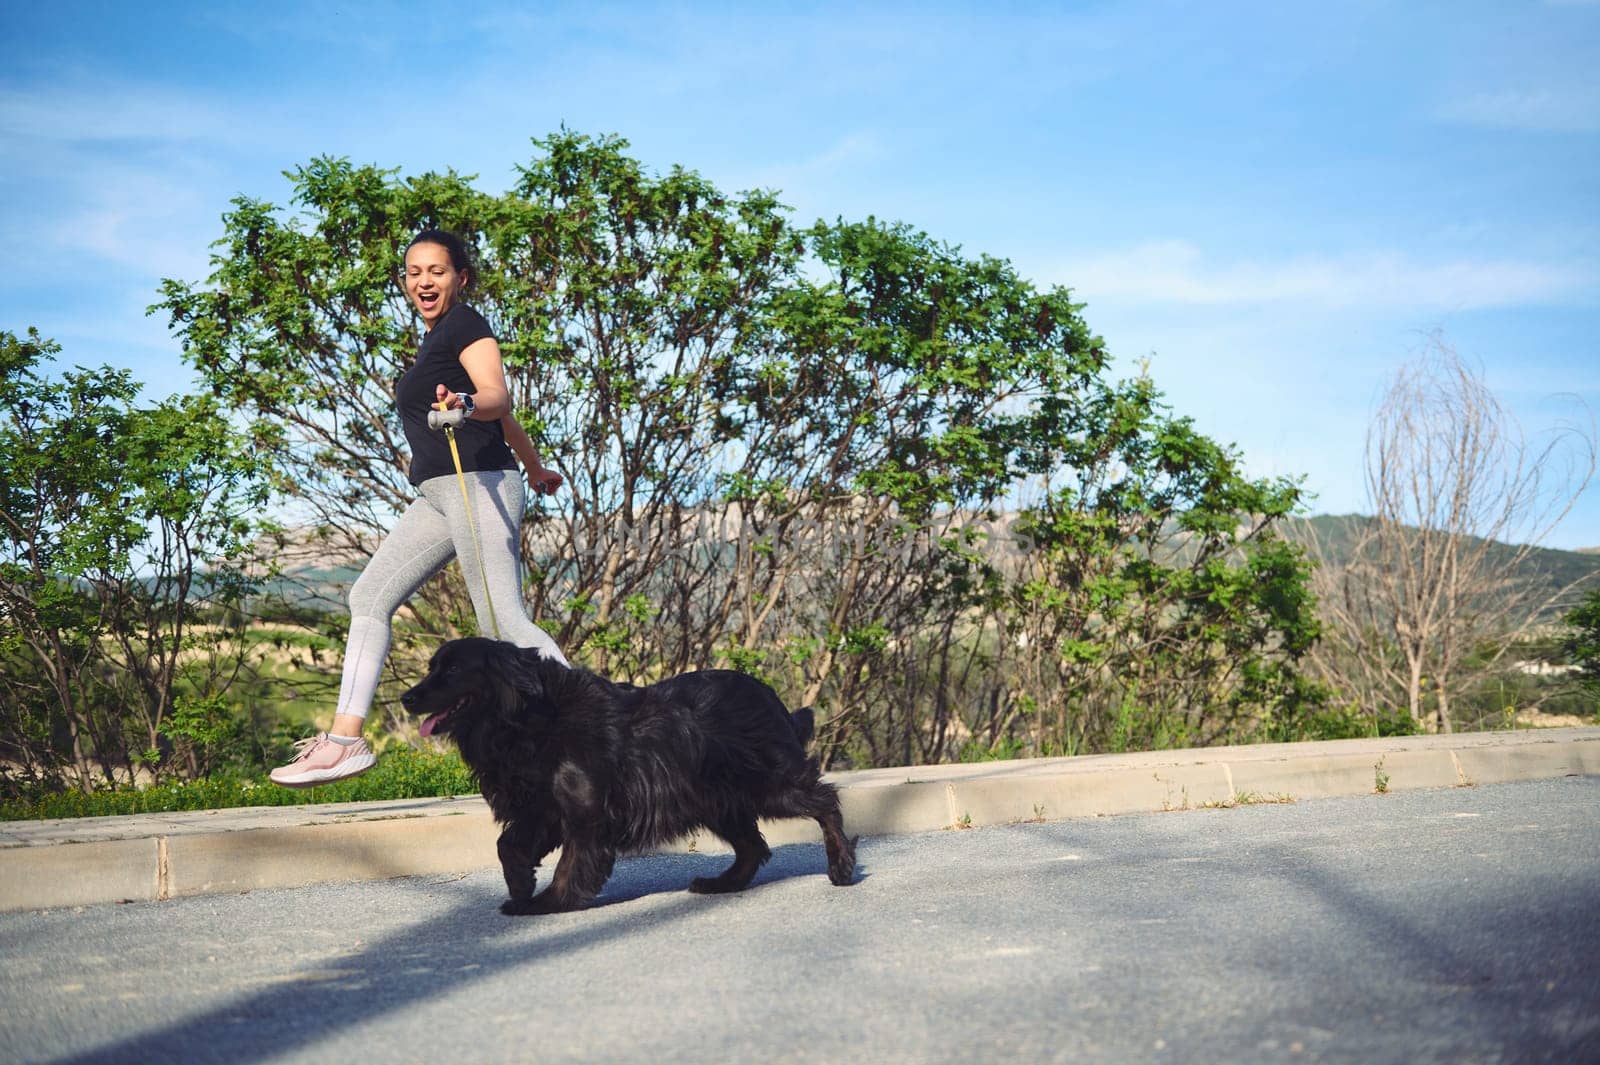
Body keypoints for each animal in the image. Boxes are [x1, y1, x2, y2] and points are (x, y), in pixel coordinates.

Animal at [400, 633, 857, 908]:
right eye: (432, 667)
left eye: (453, 670)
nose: (406, 698)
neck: (530, 717)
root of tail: (770, 696)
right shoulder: (542, 807)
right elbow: (507, 845)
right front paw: (521, 888)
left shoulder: (585, 811)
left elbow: (573, 861)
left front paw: (550, 901)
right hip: (718, 800)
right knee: (752, 847)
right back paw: (721, 884)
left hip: (767, 784)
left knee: (824, 800)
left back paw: (841, 866)